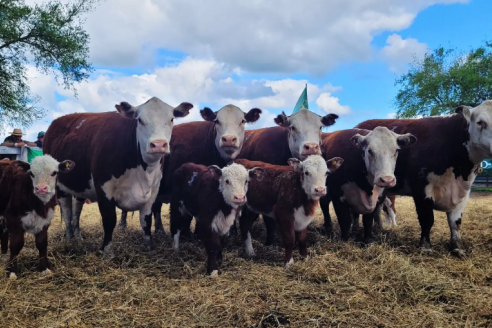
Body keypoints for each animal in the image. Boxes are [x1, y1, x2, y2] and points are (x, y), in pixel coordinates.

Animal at [43, 97, 192, 251]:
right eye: (140, 120)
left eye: (171, 119)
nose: (158, 144)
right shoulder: (104, 188)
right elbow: (109, 220)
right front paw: (107, 250)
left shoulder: (153, 191)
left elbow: (146, 221)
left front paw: (149, 247)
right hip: (59, 184)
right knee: (66, 210)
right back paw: (69, 238)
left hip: (80, 183)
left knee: (77, 208)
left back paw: (78, 236)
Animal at [356, 101, 492, 255]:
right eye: (480, 122)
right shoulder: (422, 190)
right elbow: (427, 219)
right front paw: (425, 246)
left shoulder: (463, 192)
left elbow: (455, 222)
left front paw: (457, 247)